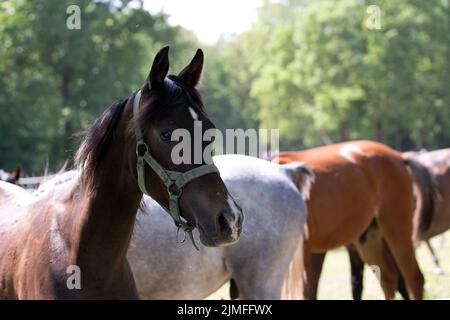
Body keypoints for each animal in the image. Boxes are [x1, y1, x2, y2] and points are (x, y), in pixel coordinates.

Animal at [274, 140, 426, 300]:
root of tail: (398, 156)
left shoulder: (305, 251)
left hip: (396, 228)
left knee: (414, 278)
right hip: (368, 238)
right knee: (388, 278)